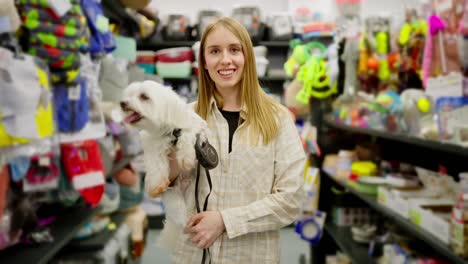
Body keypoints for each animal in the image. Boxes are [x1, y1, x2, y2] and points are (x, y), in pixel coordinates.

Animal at [120, 81, 205, 250]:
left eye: (144, 96)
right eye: (129, 94)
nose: (123, 103)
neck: (167, 131)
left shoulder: (193, 128)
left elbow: (187, 137)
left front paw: (186, 158)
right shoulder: (153, 146)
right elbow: (156, 164)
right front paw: (156, 185)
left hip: (195, 192)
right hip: (173, 199)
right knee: (181, 218)